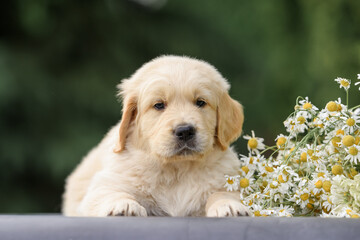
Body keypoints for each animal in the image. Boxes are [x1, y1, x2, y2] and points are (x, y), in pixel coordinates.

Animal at [62, 55, 249, 217]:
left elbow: (221, 193)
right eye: (159, 105)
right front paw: (124, 205)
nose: (185, 131)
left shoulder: (226, 180)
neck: (177, 170)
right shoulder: (107, 182)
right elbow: (111, 192)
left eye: (201, 102)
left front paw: (228, 205)